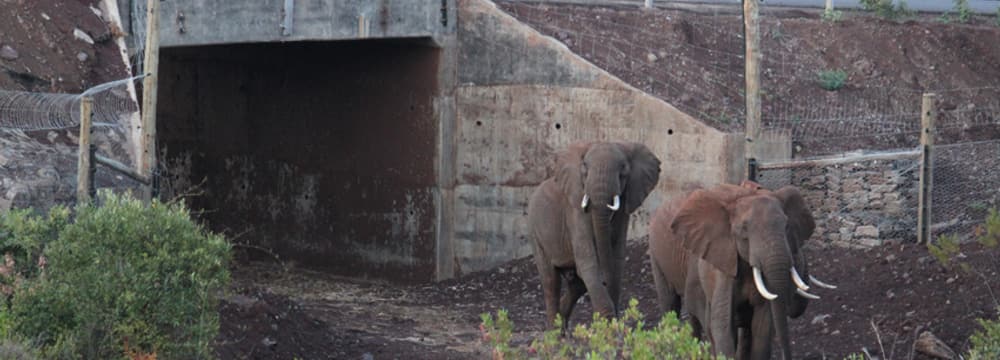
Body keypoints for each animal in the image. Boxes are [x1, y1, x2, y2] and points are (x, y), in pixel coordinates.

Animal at [528, 141, 660, 332]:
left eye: (623, 170)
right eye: (585, 168)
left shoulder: (624, 209)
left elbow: (617, 260)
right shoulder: (575, 210)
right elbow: (588, 261)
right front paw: (608, 326)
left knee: (577, 283)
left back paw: (562, 328)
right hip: (535, 233)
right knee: (551, 281)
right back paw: (554, 333)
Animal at [648, 184, 836, 358]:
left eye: (787, 225)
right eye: (744, 230)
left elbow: (762, 328)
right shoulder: (722, 263)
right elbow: (722, 324)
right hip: (657, 255)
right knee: (671, 304)